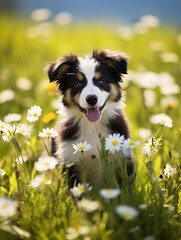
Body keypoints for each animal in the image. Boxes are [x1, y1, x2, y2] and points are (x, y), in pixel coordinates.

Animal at [46, 49, 134, 187]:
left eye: (101, 81)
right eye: (77, 84)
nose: (91, 99)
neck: (92, 126)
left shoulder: (123, 156)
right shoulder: (71, 163)